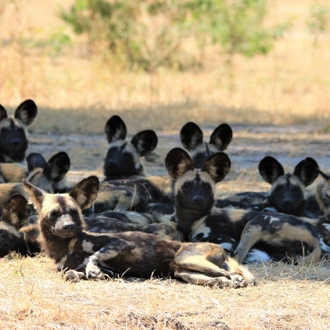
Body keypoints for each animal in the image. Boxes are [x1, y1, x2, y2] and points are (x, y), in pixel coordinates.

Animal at [23, 175, 255, 286]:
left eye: (73, 212)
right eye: (54, 214)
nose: (68, 226)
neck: (64, 246)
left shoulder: (120, 243)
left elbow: (91, 257)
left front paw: (94, 270)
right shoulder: (74, 270)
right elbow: (71, 273)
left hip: (188, 259)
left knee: (231, 274)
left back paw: (236, 280)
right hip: (185, 271)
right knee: (221, 279)